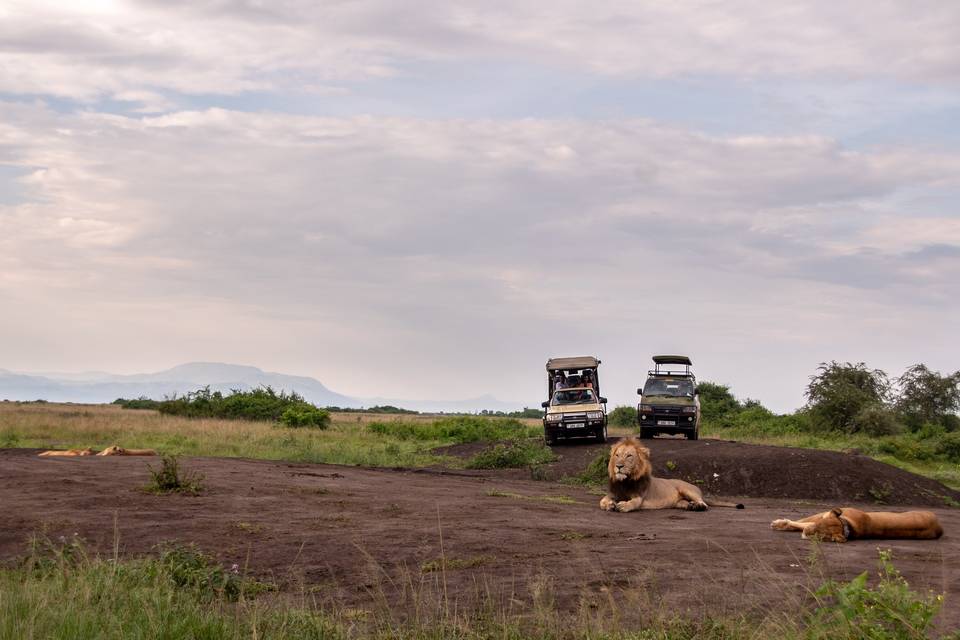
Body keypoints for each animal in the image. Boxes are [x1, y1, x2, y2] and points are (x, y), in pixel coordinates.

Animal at [600, 438, 744, 512]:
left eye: (629, 456)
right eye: (617, 455)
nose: (619, 466)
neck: (624, 482)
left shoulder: (640, 497)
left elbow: (633, 503)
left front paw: (623, 505)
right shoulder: (612, 494)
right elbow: (601, 502)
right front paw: (609, 505)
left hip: (687, 490)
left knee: (704, 503)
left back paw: (698, 506)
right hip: (679, 502)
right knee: (685, 503)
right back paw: (691, 506)